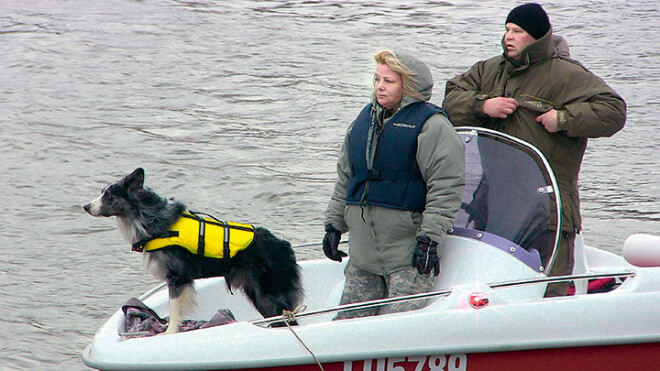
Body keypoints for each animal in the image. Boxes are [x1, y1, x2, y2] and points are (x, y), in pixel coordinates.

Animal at [82, 169, 302, 334]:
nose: (85, 206)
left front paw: (169, 333)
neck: (148, 217)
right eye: (102, 193)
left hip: (269, 297)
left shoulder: (177, 277)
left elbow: (175, 310)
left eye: (109, 196)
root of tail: (283, 245)